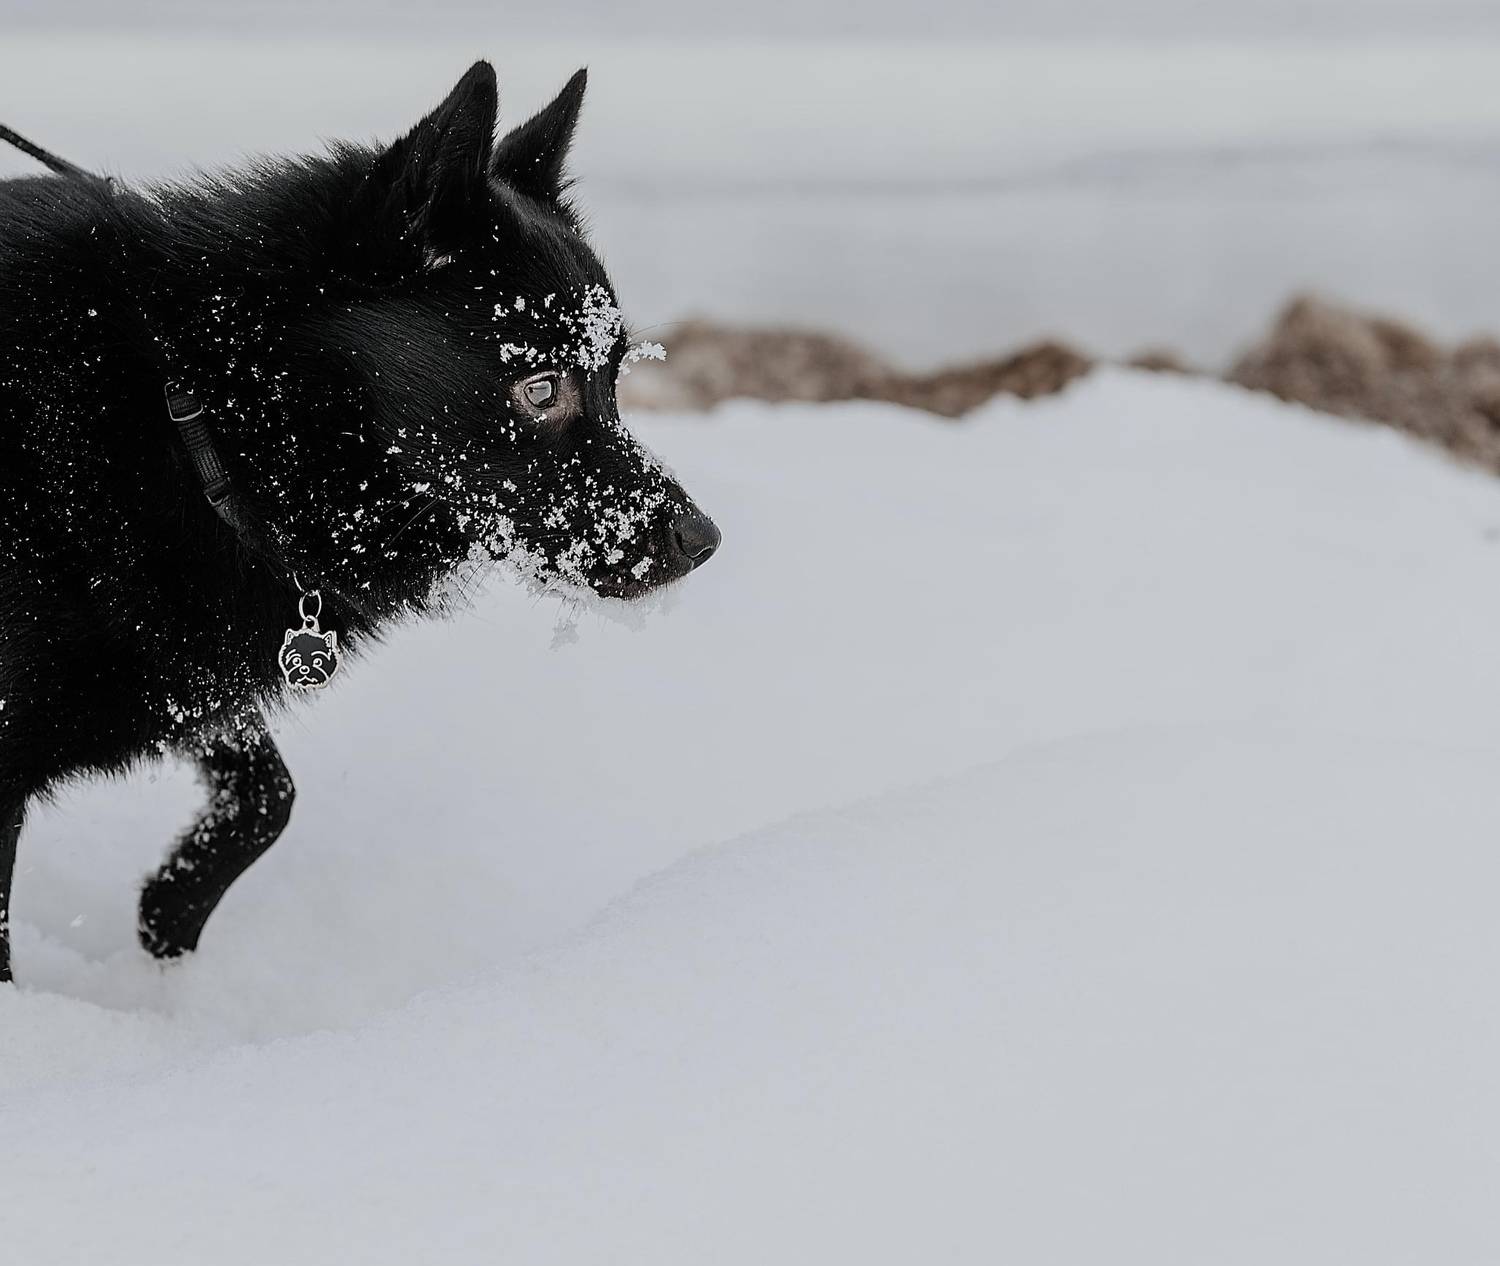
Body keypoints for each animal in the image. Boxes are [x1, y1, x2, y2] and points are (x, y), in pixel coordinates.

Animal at [0, 60, 720, 982]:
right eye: (540, 387)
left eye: (614, 375)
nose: (703, 542)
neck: (190, 411)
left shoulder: (185, 663)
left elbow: (271, 795)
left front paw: (167, 925)